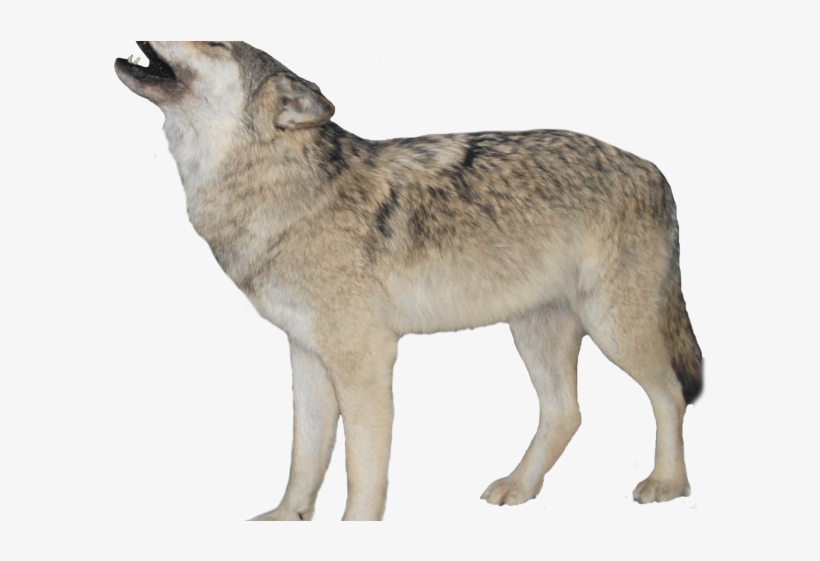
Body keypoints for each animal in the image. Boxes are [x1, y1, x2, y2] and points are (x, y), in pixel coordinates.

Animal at [115, 41, 703, 521]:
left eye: (217, 42)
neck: (284, 191)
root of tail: (653, 170)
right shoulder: (306, 353)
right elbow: (305, 455)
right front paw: (287, 519)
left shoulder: (365, 359)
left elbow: (361, 472)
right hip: (534, 333)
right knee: (566, 413)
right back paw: (519, 487)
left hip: (613, 329)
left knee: (670, 394)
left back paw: (668, 484)